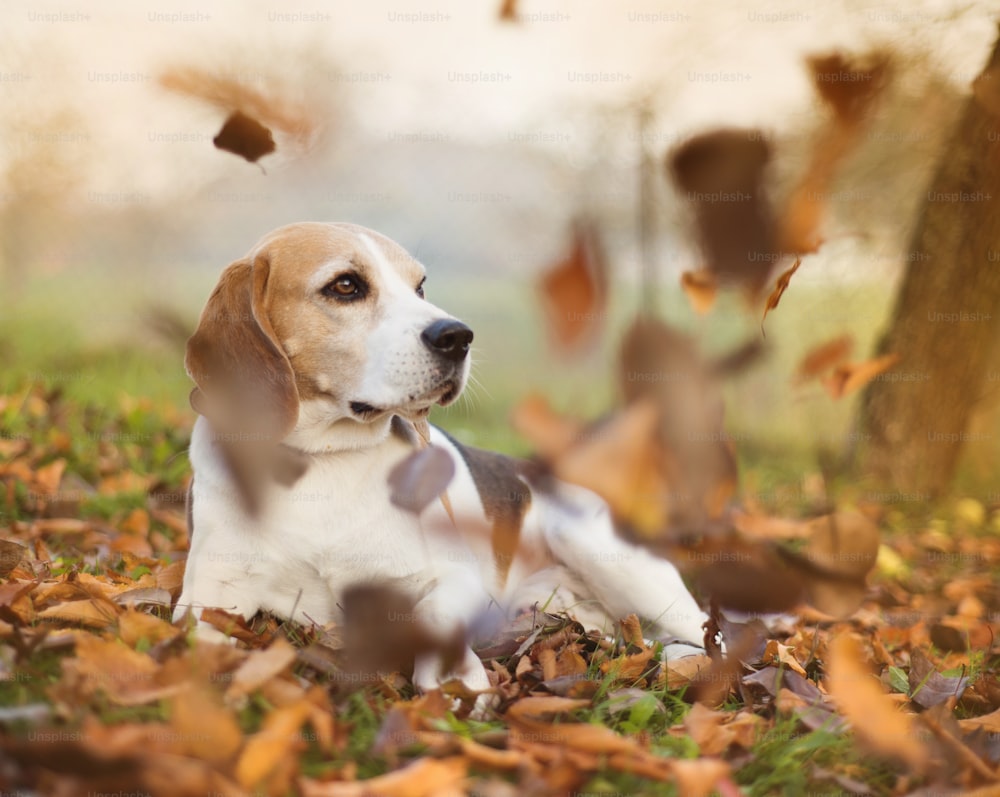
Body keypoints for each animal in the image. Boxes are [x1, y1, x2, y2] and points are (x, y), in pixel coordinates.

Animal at [176, 221, 712, 692]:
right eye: (345, 285)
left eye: (420, 287)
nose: (458, 336)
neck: (323, 458)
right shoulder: (209, 593)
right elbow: (196, 642)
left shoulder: (454, 577)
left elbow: (433, 614)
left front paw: (454, 680)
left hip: (591, 542)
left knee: (705, 632)